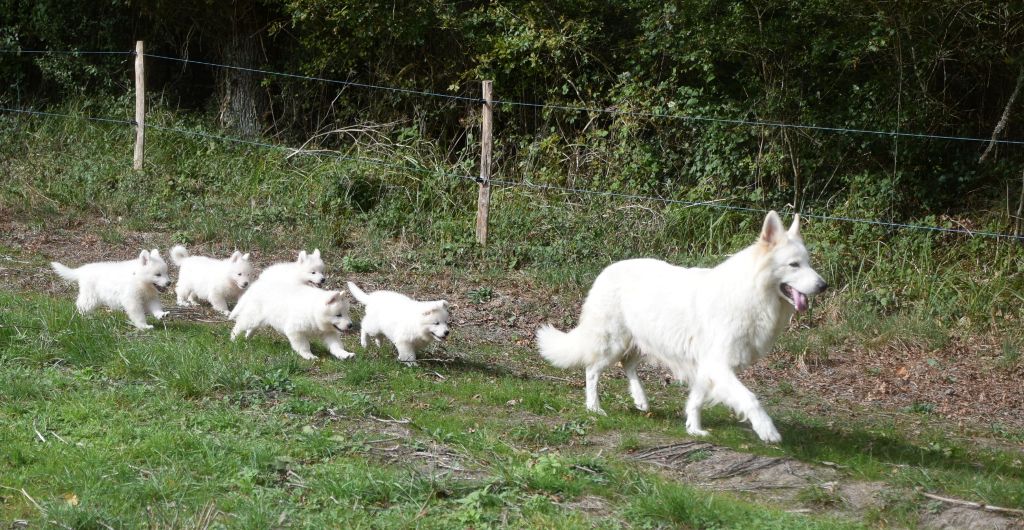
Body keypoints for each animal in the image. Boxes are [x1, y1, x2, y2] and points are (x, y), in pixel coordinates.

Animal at [540, 211, 827, 444]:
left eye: (808, 263)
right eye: (794, 265)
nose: (824, 286)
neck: (751, 292)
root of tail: (607, 270)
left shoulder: (707, 366)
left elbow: (696, 400)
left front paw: (693, 428)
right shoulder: (718, 365)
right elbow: (751, 399)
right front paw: (767, 430)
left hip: (641, 342)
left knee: (628, 365)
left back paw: (640, 400)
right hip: (613, 343)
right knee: (592, 371)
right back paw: (594, 407)